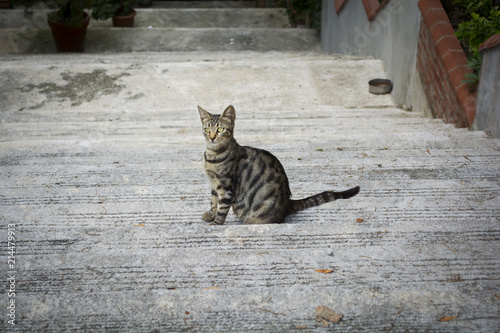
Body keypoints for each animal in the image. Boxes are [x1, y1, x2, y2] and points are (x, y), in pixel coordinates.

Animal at [198, 105, 360, 224]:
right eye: (207, 129)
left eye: (220, 129)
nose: (212, 138)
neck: (212, 154)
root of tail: (287, 203)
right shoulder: (214, 185)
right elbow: (213, 203)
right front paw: (210, 216)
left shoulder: (225, 187)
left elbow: (222, 208)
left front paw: (216, 223)